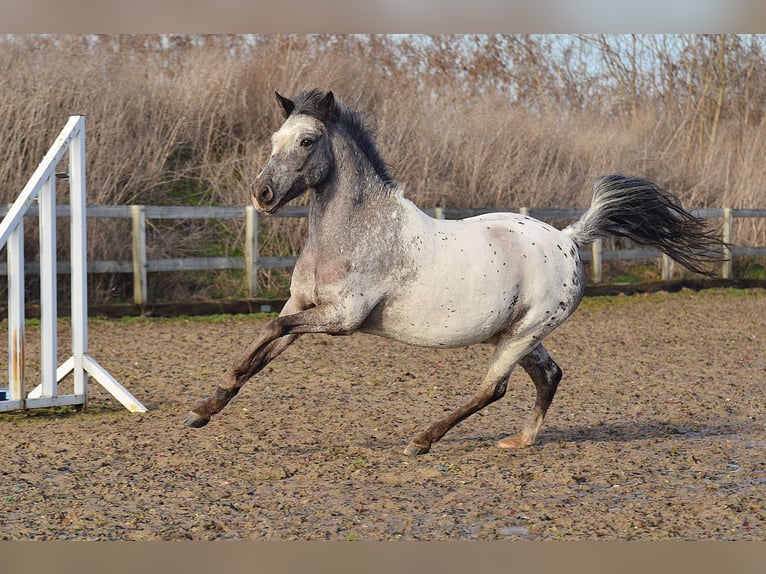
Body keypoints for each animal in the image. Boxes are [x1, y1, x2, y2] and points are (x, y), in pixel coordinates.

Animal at [184, 89, 728, 454]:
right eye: (275, 138)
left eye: (307, 140)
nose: (263, 195)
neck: (356, 232)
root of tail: (570, 238)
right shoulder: (305, 307)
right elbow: (266, 343)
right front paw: (205, 409)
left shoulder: (341, 319)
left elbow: (269, 331)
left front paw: (212, 394)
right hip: (517, 334)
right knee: (549, 375)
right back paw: (520, 441)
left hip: (524, 333)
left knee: (494, 388)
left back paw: (422, 441)